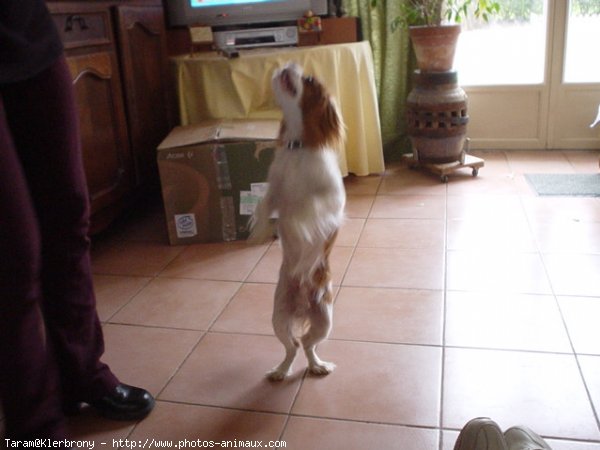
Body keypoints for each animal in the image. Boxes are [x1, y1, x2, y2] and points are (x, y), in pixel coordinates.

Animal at [250, 62, 346, 380]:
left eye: (309, 80)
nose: (289, 63)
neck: (297, 147)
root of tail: (303, 307)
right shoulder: (275, 187)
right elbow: (267, 203)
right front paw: (259, 230)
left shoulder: (332, 197)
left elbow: (310, 207)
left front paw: (299, 224)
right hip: (278, 317)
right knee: (292, 346)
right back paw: (281, 371)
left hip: (325, 319)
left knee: (307, 345)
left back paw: (318, 366)